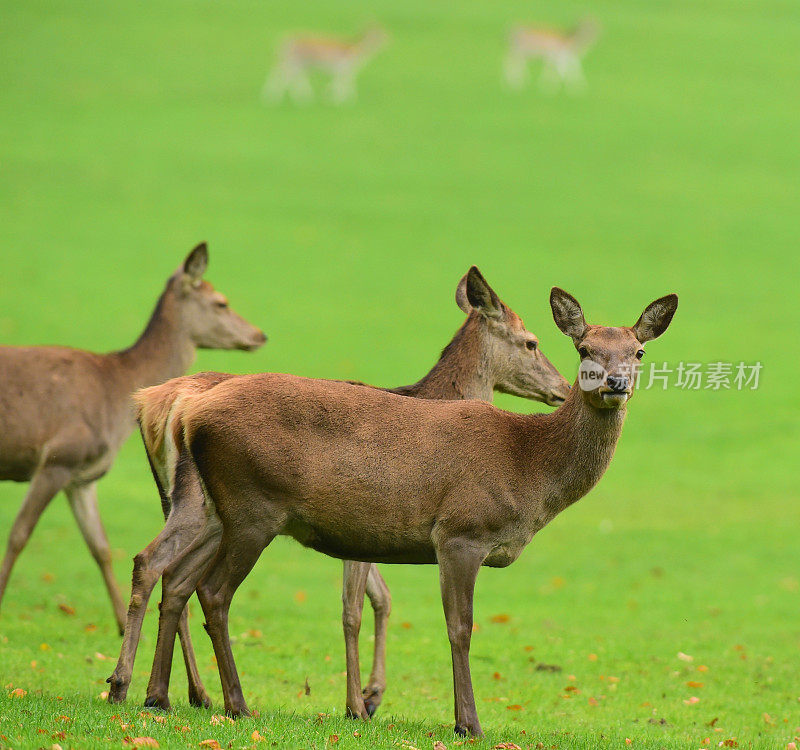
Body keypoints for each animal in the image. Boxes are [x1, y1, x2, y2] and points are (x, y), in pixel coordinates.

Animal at [0, 244, 268, 636]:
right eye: (221, 302)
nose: (260, 335)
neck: (114, 396)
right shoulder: (59, 457)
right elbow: (19, 534)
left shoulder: (82, 477)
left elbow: (100, 546)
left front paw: (120, 625)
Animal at [109, 284, 680, 736]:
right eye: (582, 346)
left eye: (639, 352)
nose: (614, 384)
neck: (528, 469)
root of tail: (185, 412)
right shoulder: (460, 532)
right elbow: (459, 627)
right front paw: (466, 723)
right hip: (252, 506)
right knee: (211, 590)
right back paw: (233, 704)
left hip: (213, 509)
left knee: (176, 578)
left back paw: (156, 695)